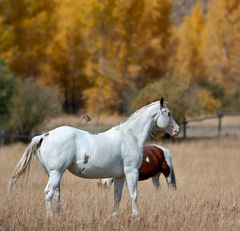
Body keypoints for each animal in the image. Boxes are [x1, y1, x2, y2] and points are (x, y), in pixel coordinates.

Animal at [7, 97, 178, 217]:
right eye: (168, 113)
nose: (176, 130)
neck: (131, 136)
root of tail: (44, 136)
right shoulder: (131, 172)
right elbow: (133, 195)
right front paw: (136, 216)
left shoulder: (120, 176)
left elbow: (117, 196)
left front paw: (115, 216)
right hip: (56, 173)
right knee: (48, 193)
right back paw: (50, 218)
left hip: (53, 174)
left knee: (56, 195)